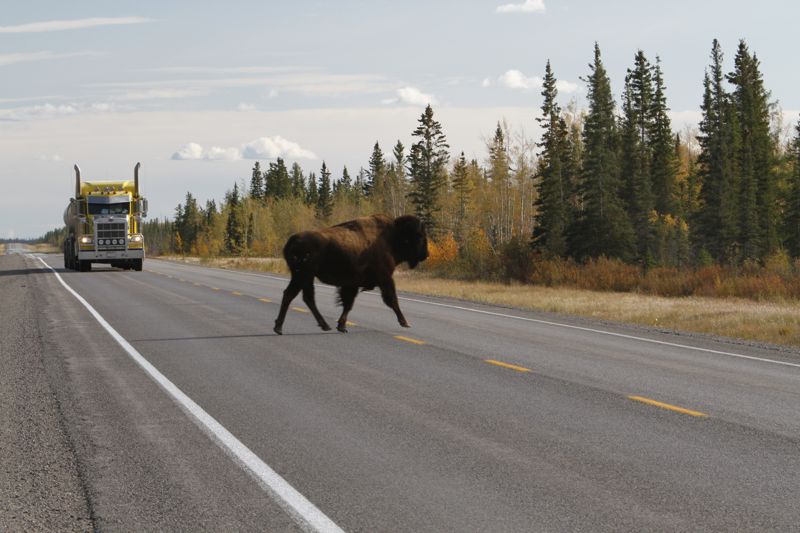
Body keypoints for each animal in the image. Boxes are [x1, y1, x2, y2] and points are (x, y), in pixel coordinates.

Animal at [274, 215, 428, 332]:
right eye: (419, 236)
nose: (426, 254)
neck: (392, 237)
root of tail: (292, 240)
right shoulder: (385, 278)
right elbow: (392, 300)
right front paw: (405, 322)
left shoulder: (352, 284)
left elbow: (348, 304)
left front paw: (341, 326)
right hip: (303, 276)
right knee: (294, 295)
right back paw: (281, 327)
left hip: (305, 277)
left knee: (303, 297)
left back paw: (322, 325)